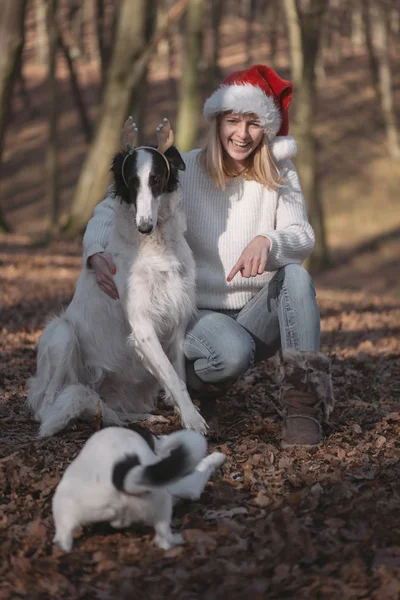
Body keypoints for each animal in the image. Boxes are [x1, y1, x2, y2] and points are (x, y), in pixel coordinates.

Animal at [28, 119, 206, 434]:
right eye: (132, 182)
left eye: (156, 179)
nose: (144, 226)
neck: (155, 246)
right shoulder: (142, 325)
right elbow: (174, 378)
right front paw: (193, 420)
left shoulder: (176, 320)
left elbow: (178, 376)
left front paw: (184, 413)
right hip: (62, 334)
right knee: (46, 406)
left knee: (114, 410)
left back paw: (143, 417)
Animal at [52, 424, 225, 552]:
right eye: (155, 436)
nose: (164, 437)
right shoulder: (186, 485)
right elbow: (204, 465)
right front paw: (217, 457)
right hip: (161, 502)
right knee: (163, 537)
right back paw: (174, 541)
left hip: (64, 506)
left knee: (63, 537)